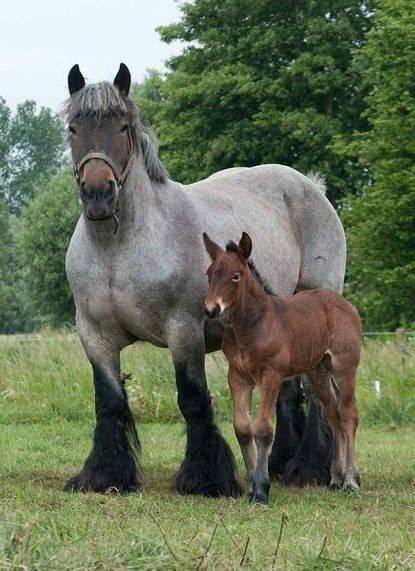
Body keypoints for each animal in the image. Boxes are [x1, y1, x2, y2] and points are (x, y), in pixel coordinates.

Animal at [63, 65, 346, 496]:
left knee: (316, 392)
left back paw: (309, 467)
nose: (98, 193)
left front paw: (204, 477)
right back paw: (281, 463)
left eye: (123, 126)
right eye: (74, 128)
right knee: (286, 391)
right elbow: (109, 401)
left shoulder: (184, 331)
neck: (119, 249)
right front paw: (106, 473)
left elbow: (193, 398)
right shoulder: (94, 336)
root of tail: (312, 187)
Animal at [203, 232, 362, 504]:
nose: (212, 309)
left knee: (348, 413)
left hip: (345, 367)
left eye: (236, 275)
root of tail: (344, 303)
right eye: (210, 273)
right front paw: (251, 488)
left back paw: (351, 480)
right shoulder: (237, 377)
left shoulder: (271, 376)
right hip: (319, 370)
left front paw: (262, 489)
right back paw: (335, 479)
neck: (254, 325)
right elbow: (242, 428)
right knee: (332, 412)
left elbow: (263, 429)